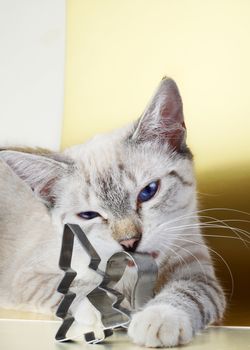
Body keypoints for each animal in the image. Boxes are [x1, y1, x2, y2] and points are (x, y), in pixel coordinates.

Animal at [0, 78, 227, 346]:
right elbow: (76, 289)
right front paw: (107, 309)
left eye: (148, 192)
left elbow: (187, 293)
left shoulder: (198, 273)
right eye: (89, 215)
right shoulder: (30, 277)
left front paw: (158, 319)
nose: (129, 242)